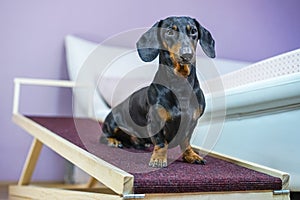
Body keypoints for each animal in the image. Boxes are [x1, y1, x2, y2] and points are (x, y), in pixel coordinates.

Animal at [101, 16, 216, 167]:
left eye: (193, 31)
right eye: (169, 32)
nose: (187, 55)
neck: (180, 85)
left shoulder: (192, 121)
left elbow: (186, 141)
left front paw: (191, 155)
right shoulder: (156, 120)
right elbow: (161, 142)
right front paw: (159, 158)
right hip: (113, 122)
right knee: (104, 136)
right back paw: (114, 141)